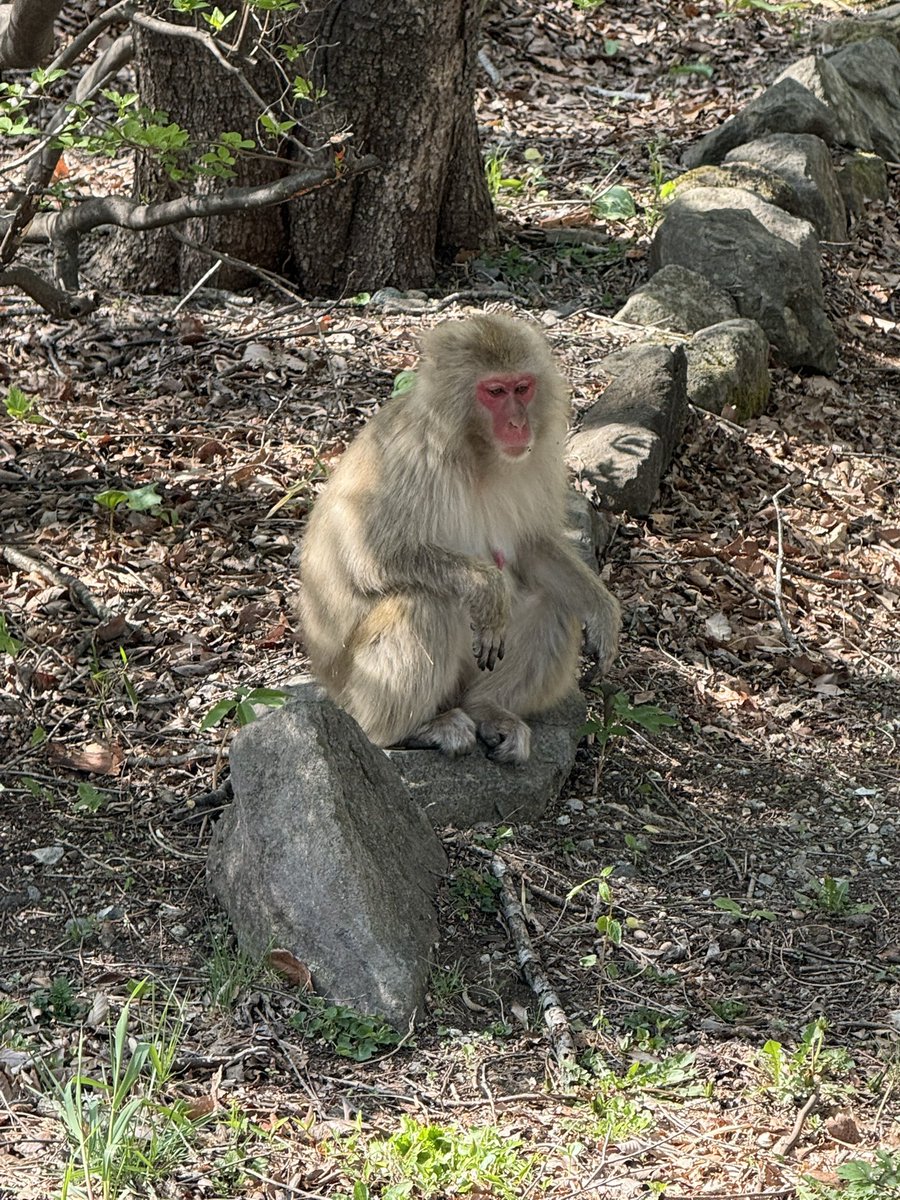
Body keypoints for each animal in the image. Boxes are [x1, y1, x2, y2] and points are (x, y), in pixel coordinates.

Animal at [298, 313, 621, 765]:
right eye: (495, 392)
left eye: (522, 387)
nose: (519, 424)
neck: (476, 453)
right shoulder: (411, 458)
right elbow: (367, 556)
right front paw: (486, 587)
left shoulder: (535, 461)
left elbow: (531, 546)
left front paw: (604, 611)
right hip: (352, 689)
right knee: (425, 603)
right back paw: (410, 730)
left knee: (554, 605)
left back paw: (486, 708)